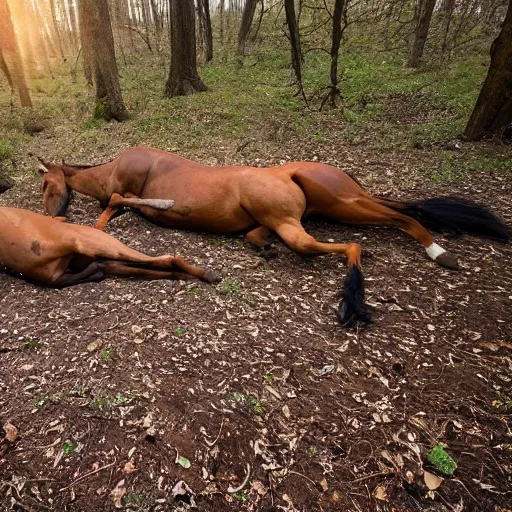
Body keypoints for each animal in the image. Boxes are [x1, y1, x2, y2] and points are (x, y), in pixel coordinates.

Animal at [38, 146, 510, 326]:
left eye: (46, 184)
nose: (47, 216)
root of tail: (289, 174)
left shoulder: (130, 189)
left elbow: (117, 203)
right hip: (334, 208)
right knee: (396, 216)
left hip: (330, 211)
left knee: (364, 235)